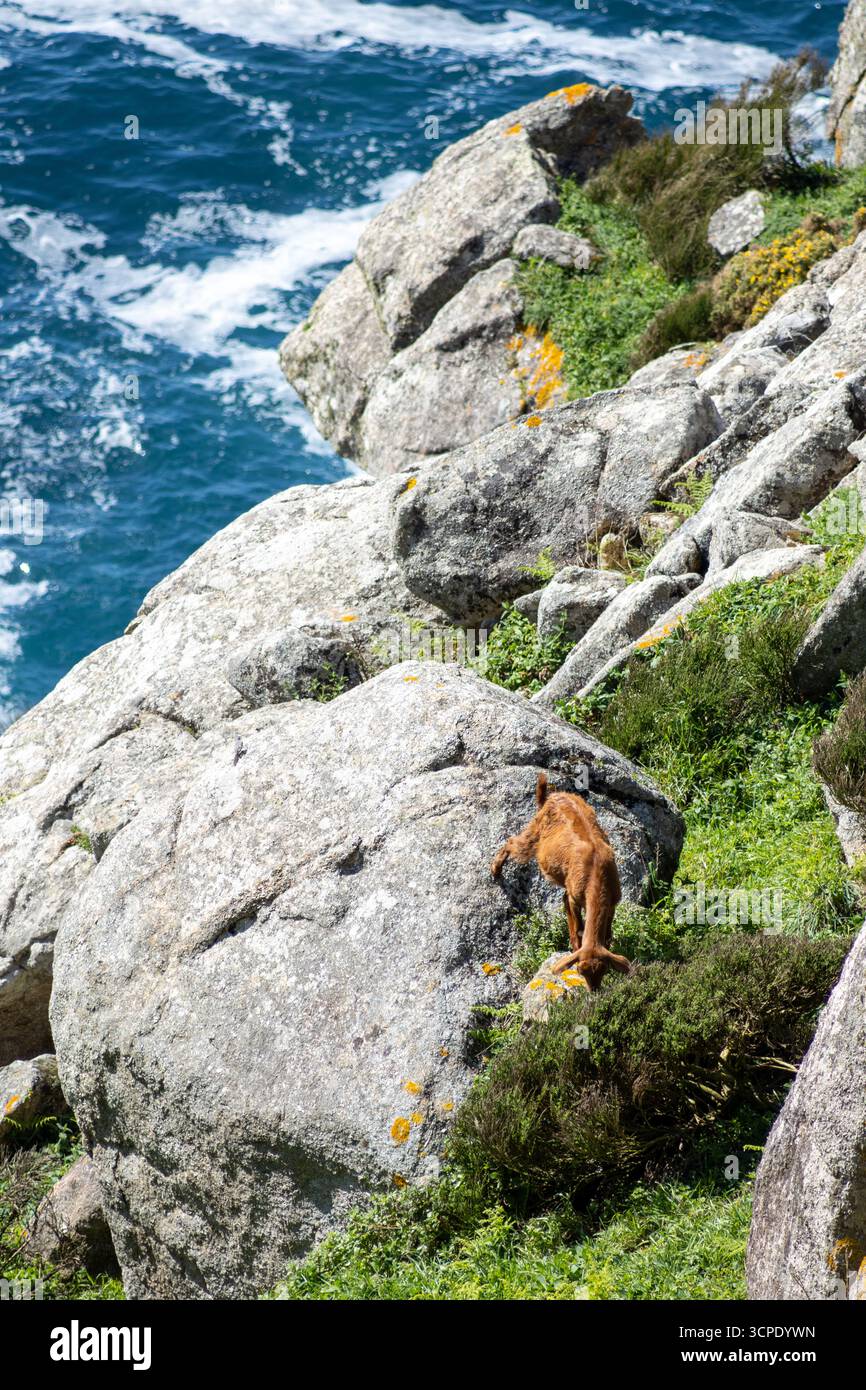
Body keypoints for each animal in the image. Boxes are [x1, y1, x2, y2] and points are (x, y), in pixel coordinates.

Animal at [490, 772, 629, 991]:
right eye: (581, 970)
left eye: (604, 970)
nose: (594, 992)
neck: (596, 875)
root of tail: (550, 797)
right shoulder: (576, 896)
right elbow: (579, 928)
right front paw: (574, 945)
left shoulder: (613, 900)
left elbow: (607, 933)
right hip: (534, 834)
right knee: (513, 842)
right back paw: (496, 869)